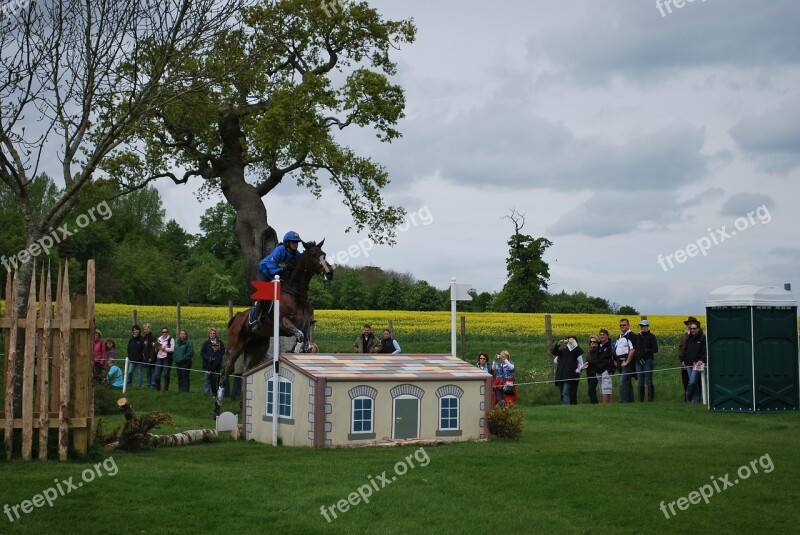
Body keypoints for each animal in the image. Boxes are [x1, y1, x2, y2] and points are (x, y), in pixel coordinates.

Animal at [214, 240, 332, 418]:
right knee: (225, 372)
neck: (297, 293)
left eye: (323, 253)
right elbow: (298, 338)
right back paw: (217, 409)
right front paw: (292, 352)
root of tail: (238, 317)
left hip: (258, 349)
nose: (330, 273)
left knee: (247, 370)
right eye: (312, 254)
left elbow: (307, 344)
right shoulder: (284, 324)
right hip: (235, 348)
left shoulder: (305, 326)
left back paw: (242, 403)